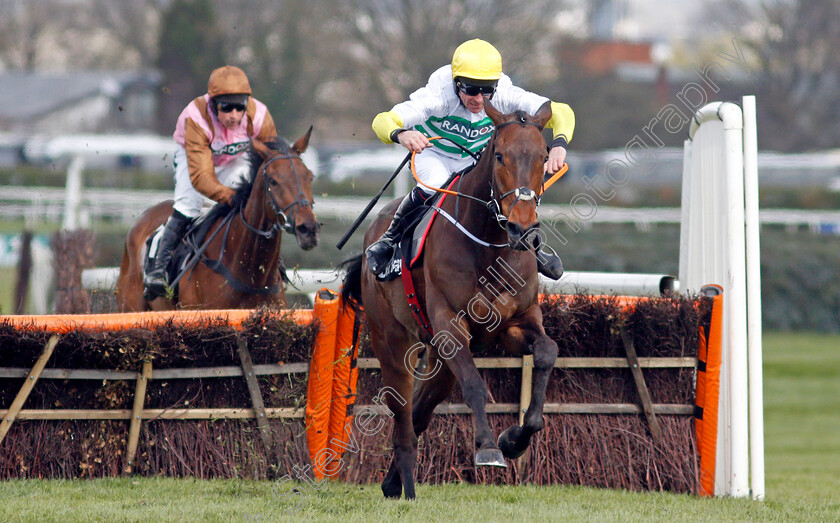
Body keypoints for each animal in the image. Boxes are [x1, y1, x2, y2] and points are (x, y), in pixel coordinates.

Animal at [342, 101, 556, 500]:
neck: (490, 246)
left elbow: (547, 352)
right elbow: (473, 384)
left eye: (544, 156)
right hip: (392, 341)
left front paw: (514, 439)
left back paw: (394, 481)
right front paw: (488, 448)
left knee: (421, 409)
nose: (523, 230)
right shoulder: (450, 326)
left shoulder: (516, 323)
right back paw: (406, 486)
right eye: (500, 156)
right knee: (403, 410)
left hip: (439, 359)